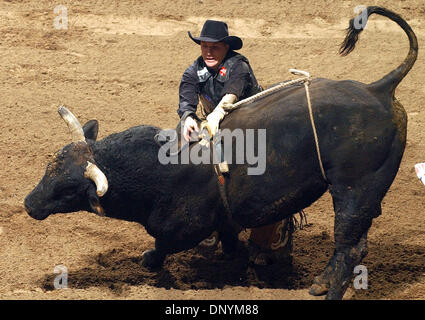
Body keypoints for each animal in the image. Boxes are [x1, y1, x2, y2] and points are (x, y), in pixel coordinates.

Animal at [24, 6, 418, 298]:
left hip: (354, 191)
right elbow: (230, 245)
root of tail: (378, 89)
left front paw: (152, 261)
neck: (157, 170)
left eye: (68, 189)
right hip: (365, 197)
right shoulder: (225, 220)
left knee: (348, 245)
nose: (29, 204)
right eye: (49, 168)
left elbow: (161, 247)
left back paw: (328, 289)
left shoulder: (184, 227)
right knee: (357, 244)